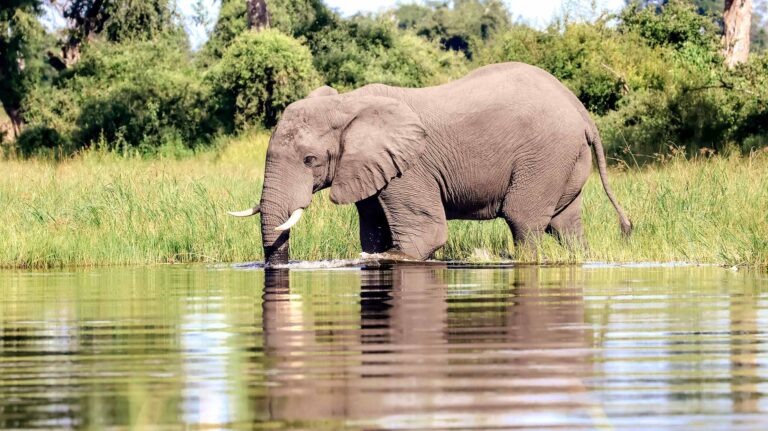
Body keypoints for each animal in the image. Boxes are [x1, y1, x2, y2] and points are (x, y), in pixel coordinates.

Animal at [229, 62, 632, 265]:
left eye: (311, 160)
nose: (275, 267)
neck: (348, 103)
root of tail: (580, 110)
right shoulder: (369, 169)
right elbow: (373, 228)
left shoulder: (409, 169)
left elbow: (424, 236)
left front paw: (386, 256)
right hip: (565, 160)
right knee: (566, 225)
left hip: (545, 156)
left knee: (524, 221)